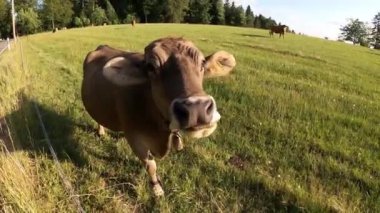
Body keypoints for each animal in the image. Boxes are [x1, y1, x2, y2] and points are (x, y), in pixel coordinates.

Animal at [81, 36, 236, 196]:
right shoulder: (134, 138)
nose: (197, 109)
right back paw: (101, 131)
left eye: (203, 63)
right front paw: (156, 188)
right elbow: (150, 165)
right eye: (151, 67)